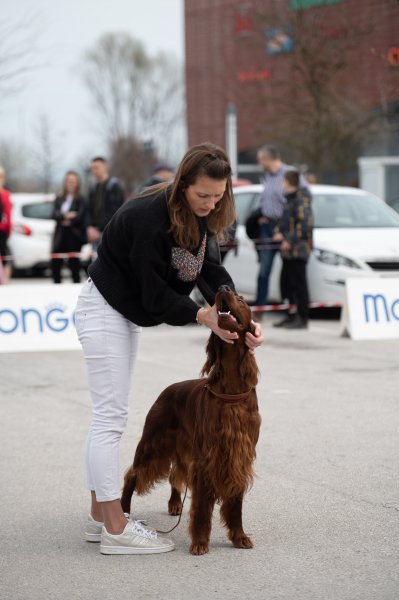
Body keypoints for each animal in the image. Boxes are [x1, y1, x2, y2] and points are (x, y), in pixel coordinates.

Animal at [120, 286, 260, 552]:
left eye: (241, 299)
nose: (223, 288)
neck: (231, 389)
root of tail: (168, 389)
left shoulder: (239, 454)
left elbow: (235, 503)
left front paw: (239, 537)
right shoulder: (207, 456)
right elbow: (202, 506)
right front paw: (200, 542)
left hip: (182, 447)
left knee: (176, 474)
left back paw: (175, 503)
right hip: (153, 443)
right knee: (132, 474)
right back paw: (123, 509)